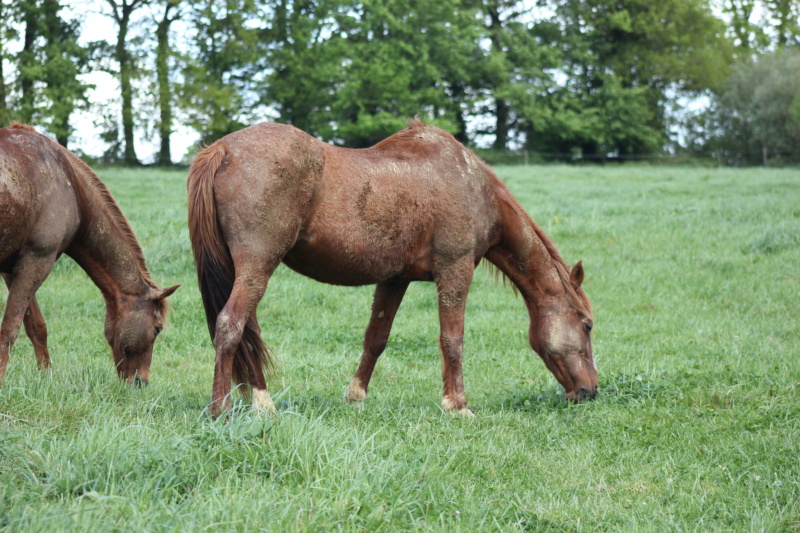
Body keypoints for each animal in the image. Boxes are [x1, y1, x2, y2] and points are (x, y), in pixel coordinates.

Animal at [0, 122, 178, 384]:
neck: (70, 185)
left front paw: (46, 378)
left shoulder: (13, 268)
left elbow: (36, 326)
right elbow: (10, 328)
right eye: (158, 328)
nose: (141, 382)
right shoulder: (37, 260)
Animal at [189, 120, 592, 416]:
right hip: (258, 266)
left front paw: (356, 396)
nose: (590, 391)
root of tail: (222, 149)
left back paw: (262, 402)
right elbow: (453, 339)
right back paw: (222, 409)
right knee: (231, 325)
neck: (470, 184)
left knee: (246, 331)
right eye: (587, 325)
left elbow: (376, 339)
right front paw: (457, 405)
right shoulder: (456, 270)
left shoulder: (394, 279)